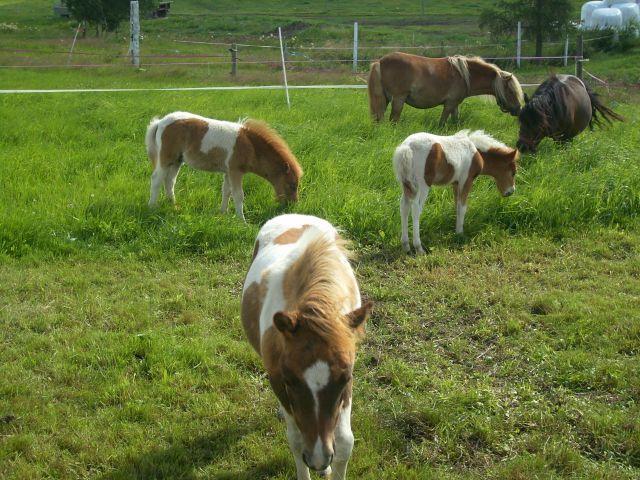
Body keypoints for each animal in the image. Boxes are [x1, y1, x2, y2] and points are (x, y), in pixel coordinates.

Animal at [146, 111, 302, 221]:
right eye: (292, 185)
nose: (292, 206)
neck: (251, 146)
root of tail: (160, 122)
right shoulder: (235, 171)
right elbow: (238, 195)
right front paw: (242, 221)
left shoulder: (228, 172)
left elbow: (226, 191)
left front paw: (223, 213)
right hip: (166, 158)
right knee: (156, 179)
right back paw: (152, 207)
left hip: (177, 161)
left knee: (170, 181)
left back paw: (173, 205)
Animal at [241, 215, 372, 480]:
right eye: (290, 380)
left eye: (344, 378)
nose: (319, 459)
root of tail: (293, 215)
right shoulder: (277, 380)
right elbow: (296, 440)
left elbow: (345, 441)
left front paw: (330, 466)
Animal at [368, 52, 524, 125]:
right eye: (511, 91)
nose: (518, 109)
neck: (464, 75)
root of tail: (380, 62)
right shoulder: (449, 104)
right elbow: (442, 123)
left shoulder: (455, 105)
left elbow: (455, 122)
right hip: (398, 100)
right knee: (393, 120)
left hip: (386, 99)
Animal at [390, 129, 520, 253]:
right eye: (513, 172)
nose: (510, 191)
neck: (477, 153)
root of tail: (407, 147)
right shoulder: (466, 180)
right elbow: (462, 207)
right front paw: (460, 233)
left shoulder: (456, 183)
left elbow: (456, 206)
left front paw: (456, 229)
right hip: (423, 185)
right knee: (416, 209)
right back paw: (418, 248)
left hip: (406, 184)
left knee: (404, 207)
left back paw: (406, 246)